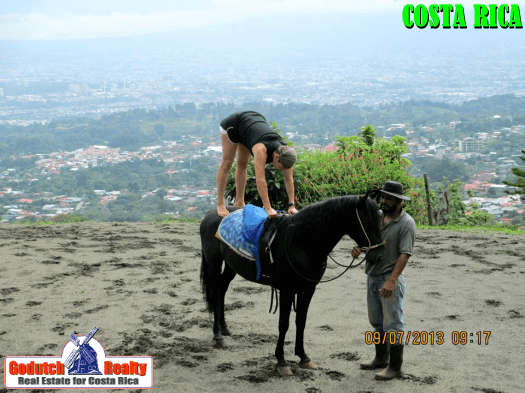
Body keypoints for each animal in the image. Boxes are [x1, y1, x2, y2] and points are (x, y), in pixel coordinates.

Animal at [200, 193, 380, 374]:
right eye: (366, 219)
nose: (379, 253)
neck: (301, 241)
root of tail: (211, 213)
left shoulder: (307, 289)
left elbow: (301, 321)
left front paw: (303, 357)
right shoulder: (287, 290)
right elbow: (283, 324)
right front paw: (281, 360)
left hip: (231, 265)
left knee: (222, 288)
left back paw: (224, 327)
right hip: (214, 262)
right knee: (215, 292)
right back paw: (217, 334)